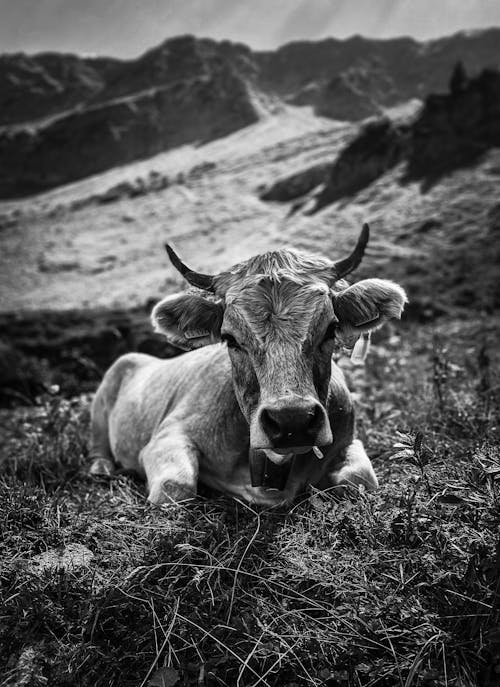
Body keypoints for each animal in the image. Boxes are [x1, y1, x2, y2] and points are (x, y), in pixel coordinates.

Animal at [89, 226, 406, 506]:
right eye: (230, 339)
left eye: (330, 330)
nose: (292, 420)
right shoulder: (166, 436)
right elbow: (175, 487)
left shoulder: (349, 441)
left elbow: (360, 479)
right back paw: (102, 469)